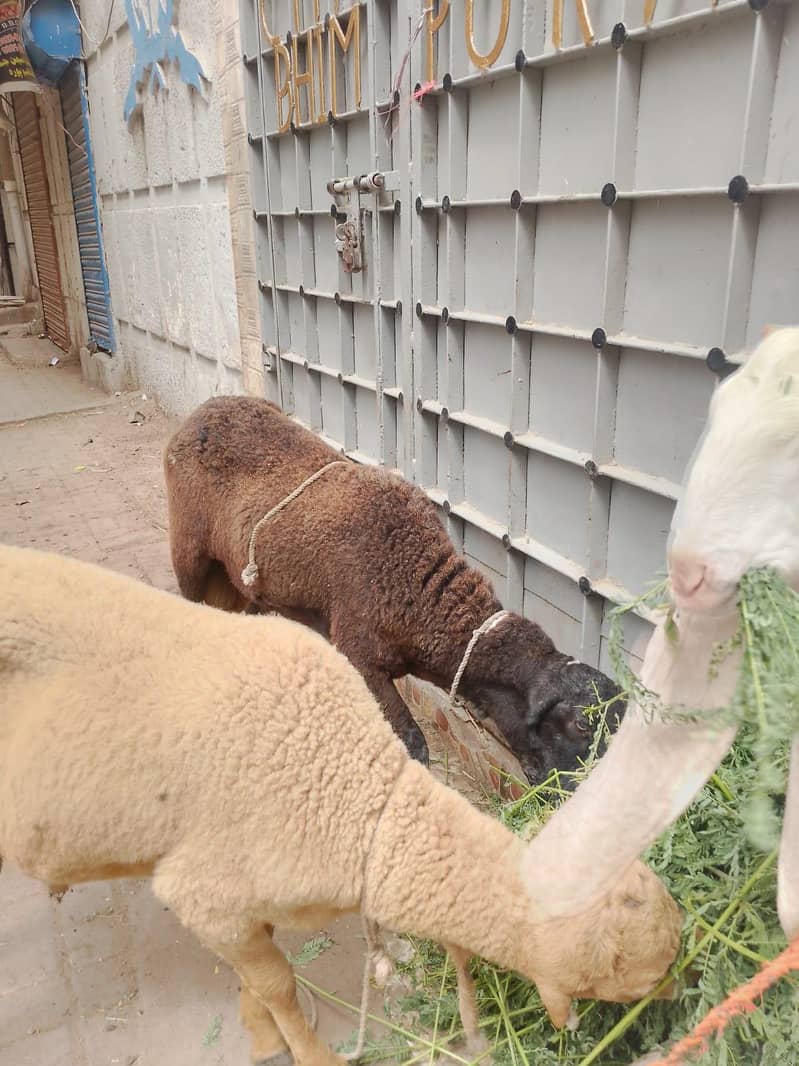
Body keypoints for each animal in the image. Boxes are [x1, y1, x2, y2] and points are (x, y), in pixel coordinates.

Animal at [0, 545, 681, 1065]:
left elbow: (259, 971)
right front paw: (306, 1049)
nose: (686, 988)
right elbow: (276, 980)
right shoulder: (204, 895)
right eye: (580, 723)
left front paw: (261, 1029)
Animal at [163, 395, 624, 782]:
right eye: (581, 724)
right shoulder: (359, 651)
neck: (417, 586)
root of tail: (204, 410)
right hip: (189, 550)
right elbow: (413, 745)